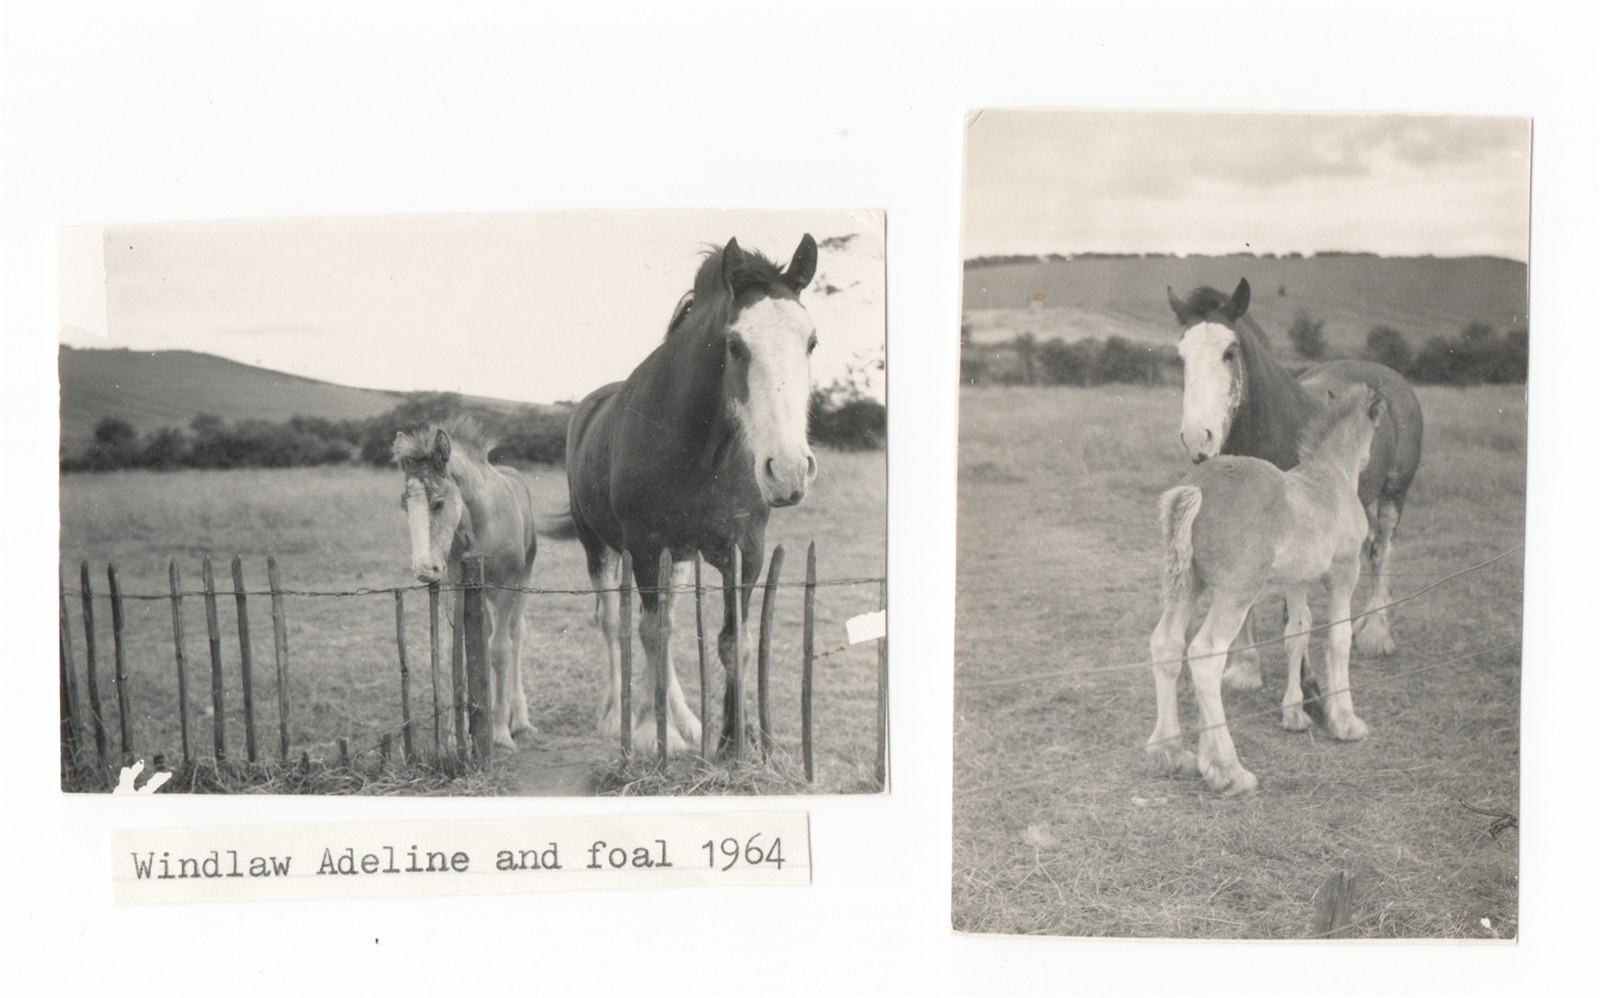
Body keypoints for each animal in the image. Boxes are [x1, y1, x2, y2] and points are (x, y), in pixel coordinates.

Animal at [393, 415, 538, 751]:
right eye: (405, 505)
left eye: (438, 502)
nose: (425, 569)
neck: (480, 523)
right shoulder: (454, 586)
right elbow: (453, 651)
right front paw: (450, 738)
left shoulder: (505, 588)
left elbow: (499, 650)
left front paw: (500, 733)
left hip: (522, 583)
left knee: (515, 635)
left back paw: (520, 721)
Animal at [565, 234, 819, 757]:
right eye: (735, 345)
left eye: (811, 341)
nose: (787, 471)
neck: (703, 453)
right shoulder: (643, 546)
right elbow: (650, 633)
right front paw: (648, 731)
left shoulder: (745, 549)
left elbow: (733, 639)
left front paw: (731, 742)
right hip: (599, 546)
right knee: (615, 622)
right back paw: (620, 716)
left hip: (678, 559)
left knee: (667, 621)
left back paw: (682, 721)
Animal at [1148, 385, 1387, 795]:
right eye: (1375, 427)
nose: (1370, 459)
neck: (1333, 475)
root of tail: (1196, 488)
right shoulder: (1344, 572)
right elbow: (1338, 638)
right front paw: (1345, 722)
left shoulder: (1297, 580)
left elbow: (1297, 632)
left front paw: (1294, 714)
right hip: (1236, 592)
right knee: (1206, 654)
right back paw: (1228, 770)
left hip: (1190, 584)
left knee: (1167, 644)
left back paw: (1173, 753)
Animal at [1168, 279, 1424, 691]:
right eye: (1181, 357)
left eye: (1229, 352)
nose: (1196, 439)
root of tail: (1389, 376)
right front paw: (1245, 669)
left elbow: (1294, 617)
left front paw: (1308, 687)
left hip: (1394, 492)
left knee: (1382, 550)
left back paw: (1376, 633)